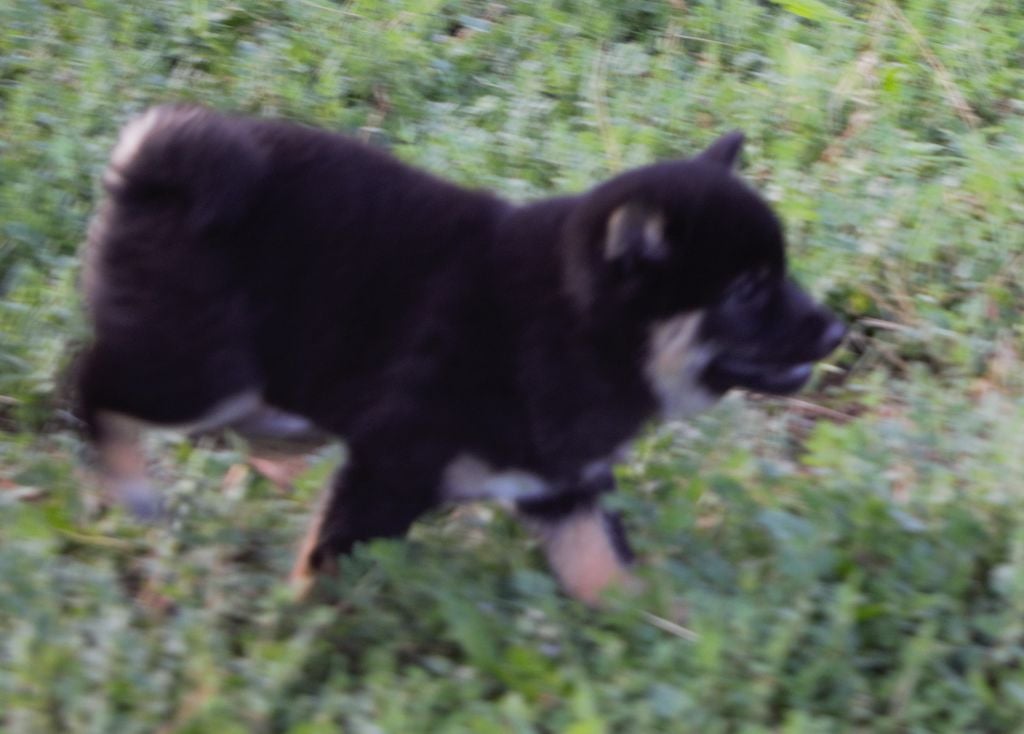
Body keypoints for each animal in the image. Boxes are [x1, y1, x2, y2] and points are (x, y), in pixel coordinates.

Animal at [76, 105, 845, 603]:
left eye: (779, 273)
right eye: (747, 290)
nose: (836, 331)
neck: (570, 326)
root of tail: (147, 168)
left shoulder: (561, 486)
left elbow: (605, 567)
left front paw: (655, 631)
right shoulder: (390, 466)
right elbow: (323, 564)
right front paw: (289, 643)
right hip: (203, 369)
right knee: (91, 383)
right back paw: (130, 484)